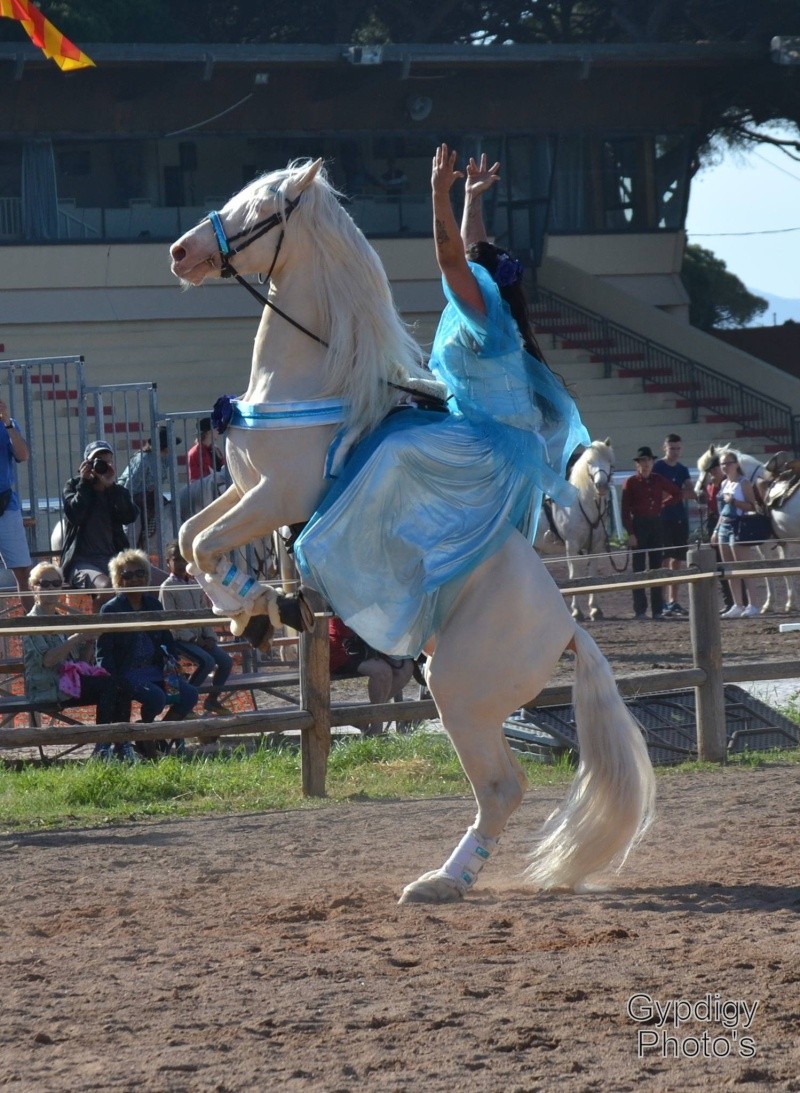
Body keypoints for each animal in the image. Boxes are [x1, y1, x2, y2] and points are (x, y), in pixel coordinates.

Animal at [537, 437, 620, 625]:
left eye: (609, 461)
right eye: (589, 462)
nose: (601, 485)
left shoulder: (595, 547)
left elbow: (592, 576)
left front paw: (595, 610)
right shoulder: (572, 546)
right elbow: (575, 577)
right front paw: (576, 612)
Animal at [695, 443, 800, 616]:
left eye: (707, 468)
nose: (698, 494)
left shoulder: (762, 543)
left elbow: (768, 570)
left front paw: (769, 604)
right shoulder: (783, 541)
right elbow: (785, 570)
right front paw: (790, 603)